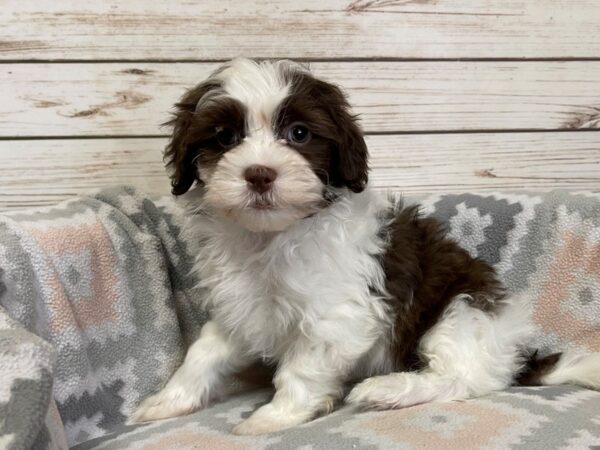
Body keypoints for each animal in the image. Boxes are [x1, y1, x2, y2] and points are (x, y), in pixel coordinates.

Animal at [131, 58, 600, 434]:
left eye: (299, 133)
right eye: (225, 138)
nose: (259, 173)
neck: (271, 236)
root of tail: (514, 356)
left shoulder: (338, 315)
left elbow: (301, 367)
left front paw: (273, 418)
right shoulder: (243, 309)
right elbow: (204, 352)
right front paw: (167, 401)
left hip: (463, 309)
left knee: (461, 377)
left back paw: (388, 390)